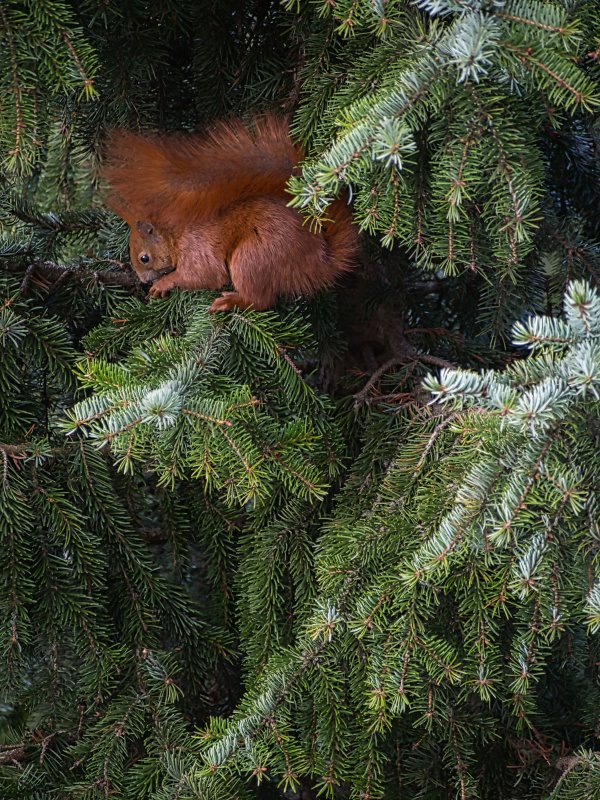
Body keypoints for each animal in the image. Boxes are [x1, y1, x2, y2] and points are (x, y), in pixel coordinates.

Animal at [102, 115, 360, 312]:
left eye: (144, 258)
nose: (143, 281)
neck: (175, 232)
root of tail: (319, 262)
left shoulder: (196, 248)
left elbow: (204, 275)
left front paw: (164, 283)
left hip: (253, 258)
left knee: (262, 301)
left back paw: (231, 302)